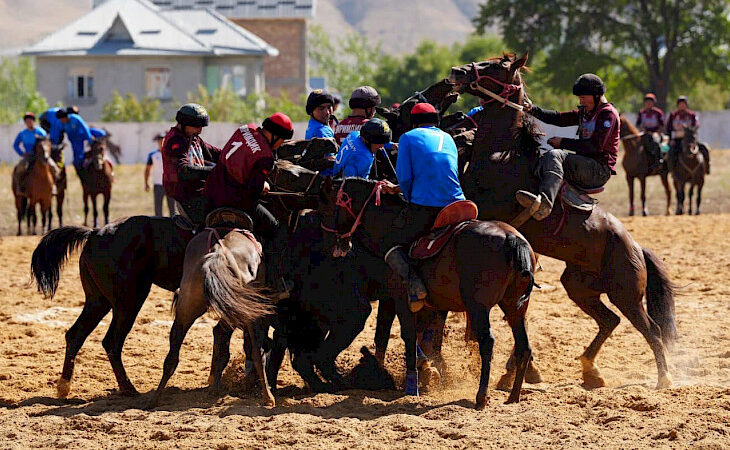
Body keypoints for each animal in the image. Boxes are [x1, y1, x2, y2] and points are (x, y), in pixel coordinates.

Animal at [314, 178, 536, 410]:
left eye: (324, 209)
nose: (330, 244)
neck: (387, 223)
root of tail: (511, 238)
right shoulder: (425, 304)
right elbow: (426, 340)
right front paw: (429, 371)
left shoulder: (400, 299)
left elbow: (408, 335)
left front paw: (412, 384)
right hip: (516, 306)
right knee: (524, 346)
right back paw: (514, 396)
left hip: (478, 306)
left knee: (487, 342)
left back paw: (481, 396)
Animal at [450, 52, 676, 390]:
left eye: (496, 65)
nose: (456, 71)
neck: (502, 155)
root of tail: (635, 246)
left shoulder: (489, 208)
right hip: (579, 286)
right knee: (610, 320)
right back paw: (590, 370)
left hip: (626, 293)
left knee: (651, 329)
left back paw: (663, 379)